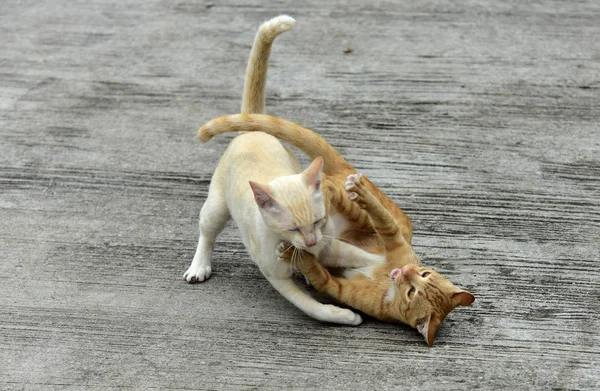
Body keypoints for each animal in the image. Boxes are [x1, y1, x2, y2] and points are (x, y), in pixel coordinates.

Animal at [185, 15, 380, 326]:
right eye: (292, 228)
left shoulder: (330, 244)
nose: (311, 242)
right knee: (207, 233)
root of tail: (253, 130)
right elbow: (312, 307)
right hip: (215, 208)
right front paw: (344, 315)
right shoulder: (278, 277)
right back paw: (199, 266)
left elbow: (366, 257)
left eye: (319, 221)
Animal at [276, 173, 474, 348]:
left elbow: (317, 273)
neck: (388, 280)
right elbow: (382, 218)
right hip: (360, 219)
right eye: (424, 274)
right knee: (340, 196)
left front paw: (291, 253)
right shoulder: (392, 237)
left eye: (411, 293)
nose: (405, 270)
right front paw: (361, 193)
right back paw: (332, 185)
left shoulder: (336, 288)